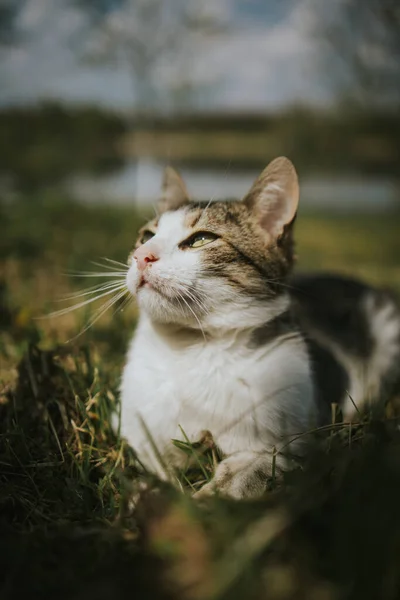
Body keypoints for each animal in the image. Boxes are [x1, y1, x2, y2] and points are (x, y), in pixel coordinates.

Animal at [119, 157, 400, 500]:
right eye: (146, 235)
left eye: (201, 239)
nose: (141, 255)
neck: (190, 348)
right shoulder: (135, 431)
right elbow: (145, 460)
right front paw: (147, 491)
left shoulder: (300, 443)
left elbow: (254, 470)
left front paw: (207, 498)